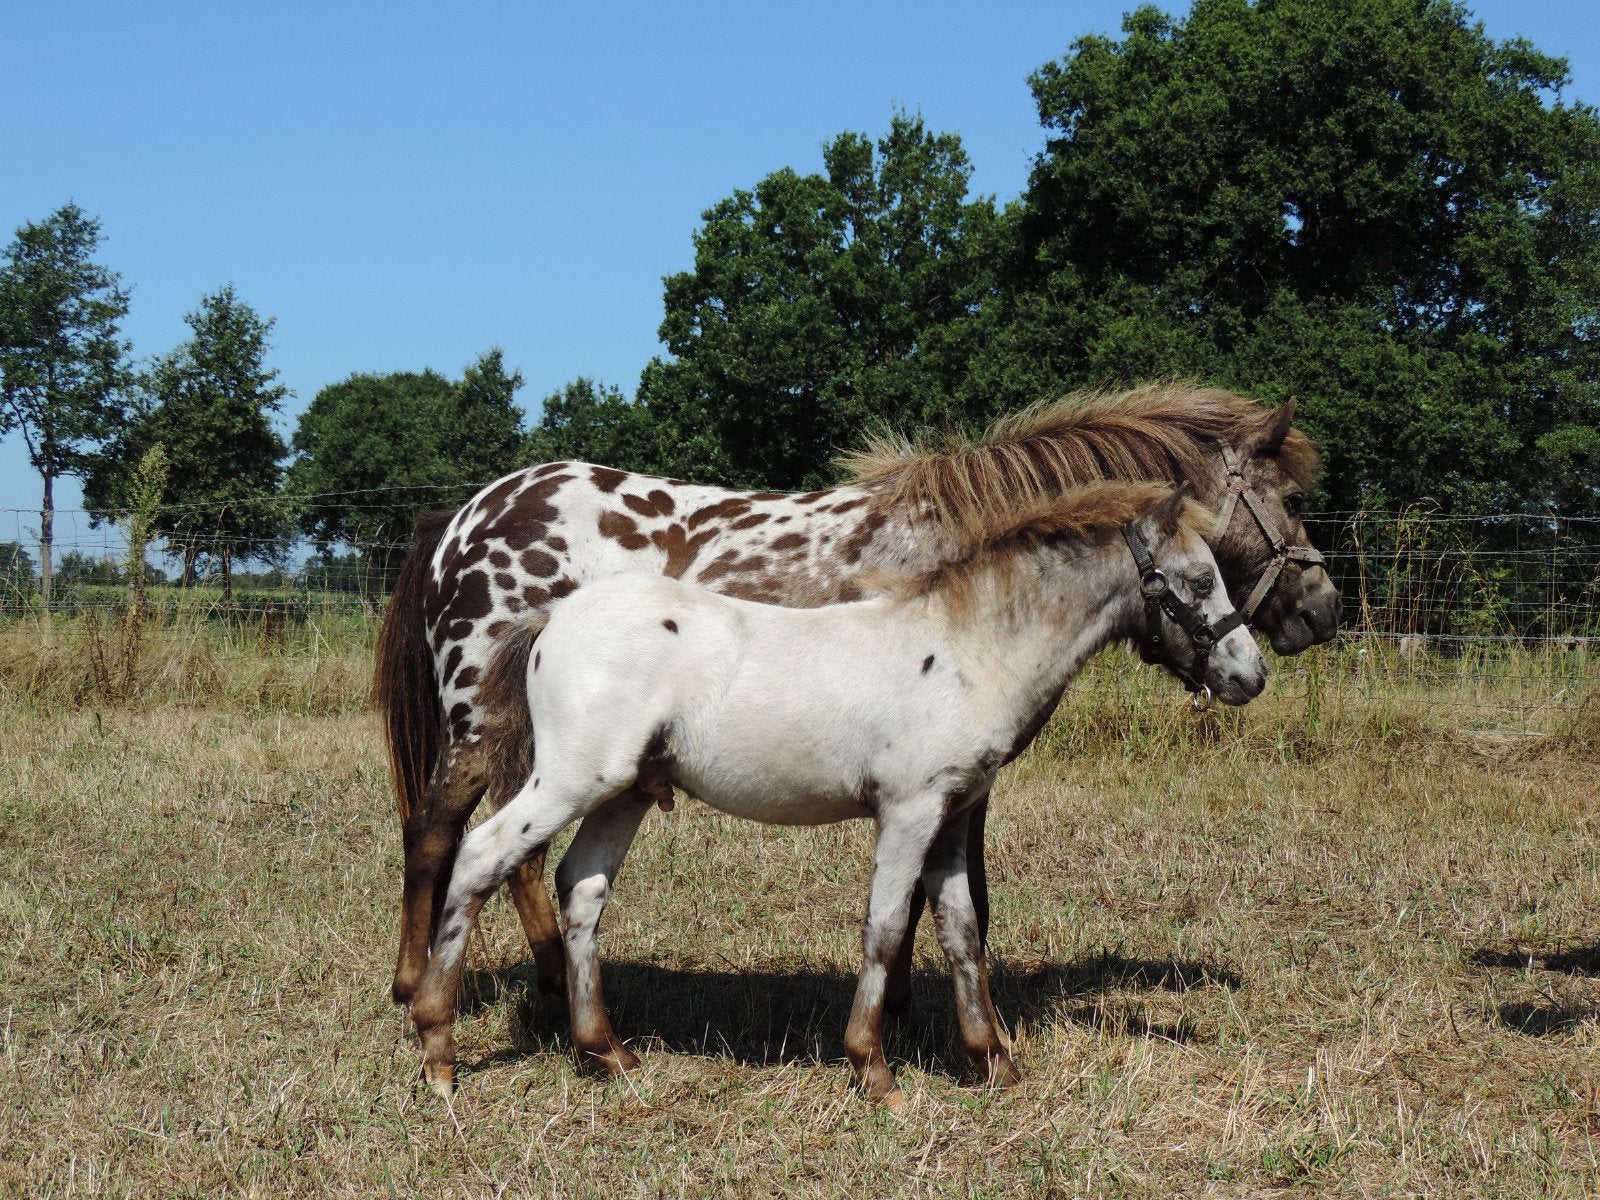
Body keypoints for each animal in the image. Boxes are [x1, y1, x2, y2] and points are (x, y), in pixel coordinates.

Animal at [378, 385, 1339, 1015]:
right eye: (1291, 499)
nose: (1322, 612)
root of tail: (459, 519)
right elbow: (945, 894)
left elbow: (935, 895)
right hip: (479, 726)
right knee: (439, 835)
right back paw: (413, 984)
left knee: (517, 856)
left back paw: (548, 987)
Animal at [406, 481, 1267, 1105]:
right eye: (1198, 579)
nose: (1250, 676)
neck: (969, 646)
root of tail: (551, 618)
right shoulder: (909, 811)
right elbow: (884, 930)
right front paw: (873, 1070)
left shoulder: (951, 815)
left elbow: (960, 932)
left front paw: (993, 1063)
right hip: (570, 778)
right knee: (478, 856)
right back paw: (438, 1050)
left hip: (625, 791)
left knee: (580, 889)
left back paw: (608, 1054)